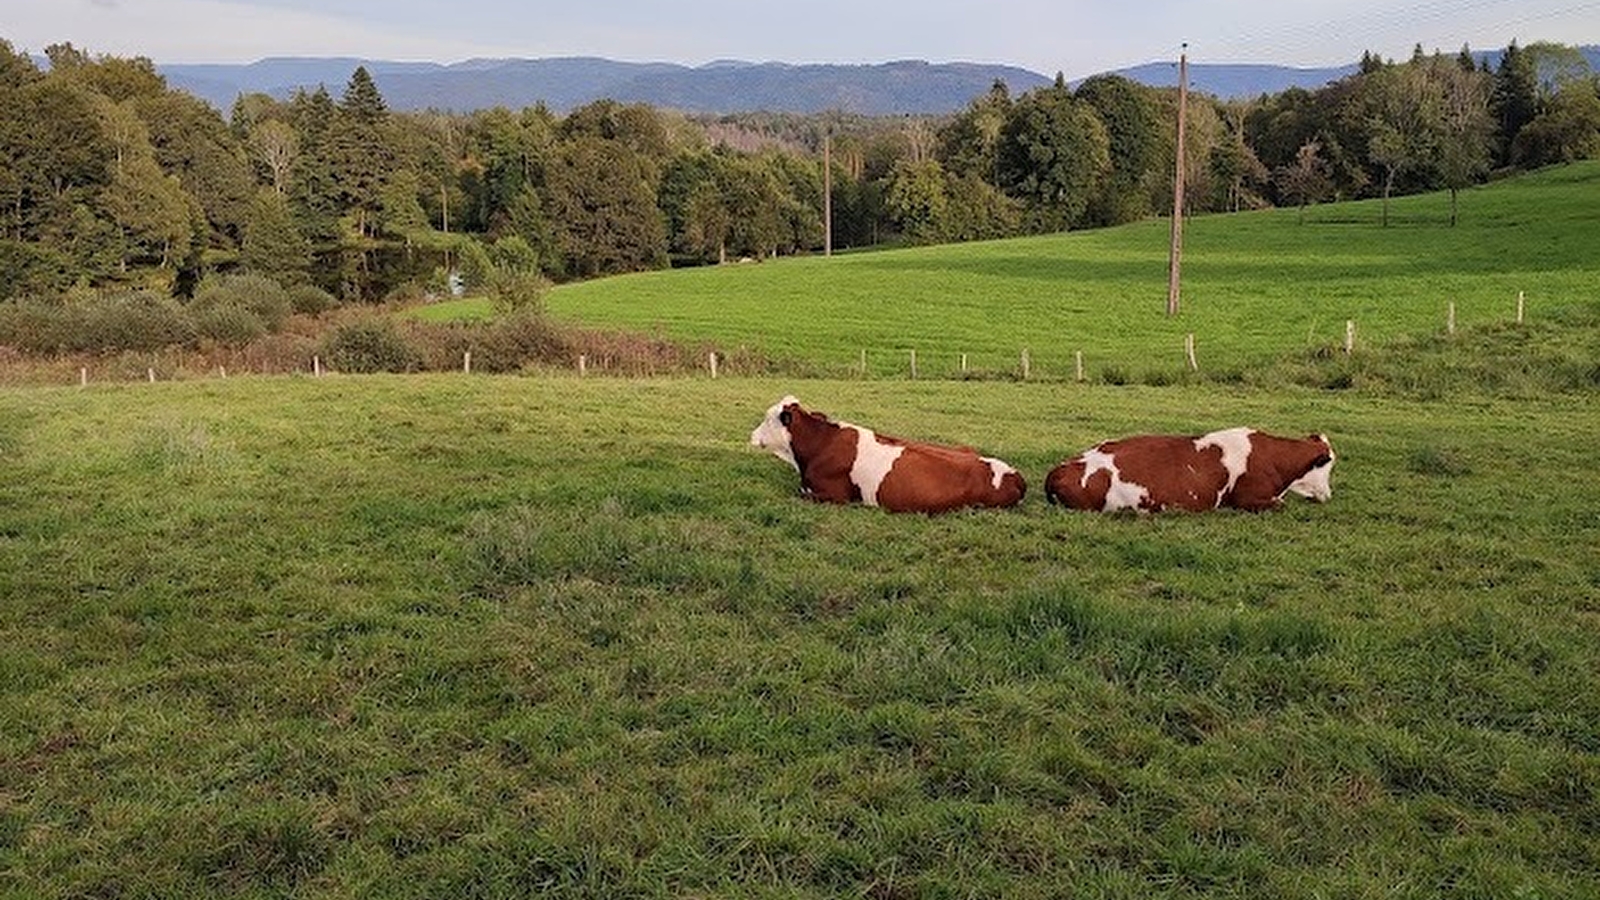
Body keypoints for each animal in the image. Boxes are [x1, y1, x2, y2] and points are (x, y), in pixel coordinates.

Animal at [748, 393, 1024, 512]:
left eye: (768, 418)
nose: (751, 435)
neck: (820, 444)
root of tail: (1015, 473)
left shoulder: (835, 495)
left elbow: (799, 494)